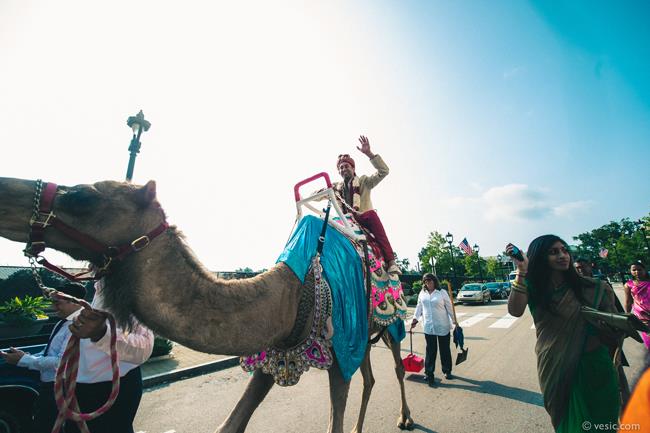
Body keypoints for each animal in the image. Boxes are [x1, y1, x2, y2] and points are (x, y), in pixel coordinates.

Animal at [0, 176, 416, 432]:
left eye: (81, 196)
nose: (6, 189)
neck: (296, 289)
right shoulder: (279, 344)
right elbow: (231, 422)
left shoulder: (341, 342)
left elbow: (335, 417)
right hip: (364, 338)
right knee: (370, 377)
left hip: (389, 325)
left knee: (396, 367)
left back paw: (404, 417)